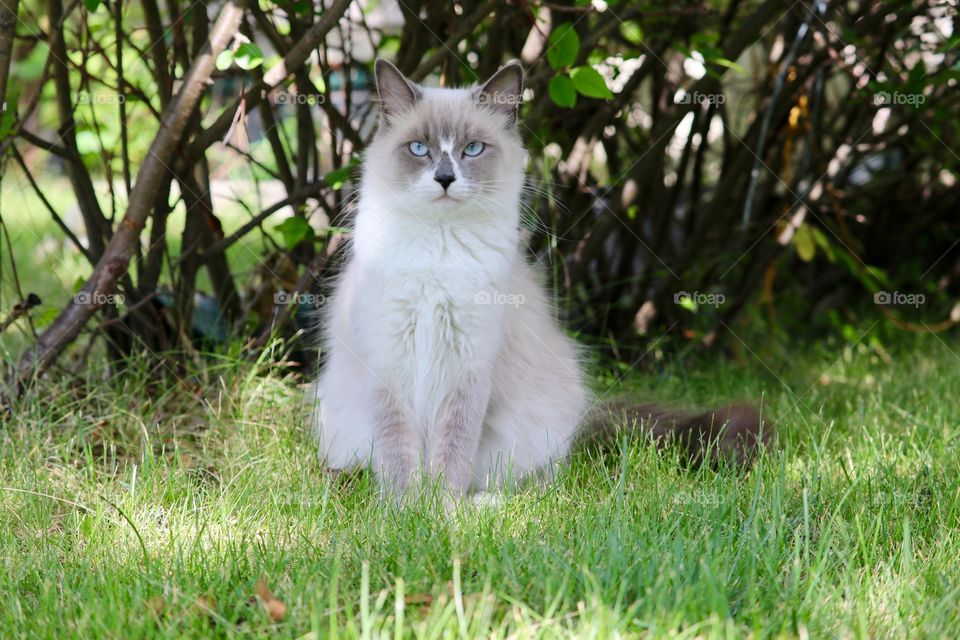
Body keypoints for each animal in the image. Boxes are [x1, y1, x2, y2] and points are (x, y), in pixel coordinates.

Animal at [316, 60, 772, 498]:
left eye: (472, 149)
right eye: (419, 149)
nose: (445, 179)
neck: (438, 250)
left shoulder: (468, 365)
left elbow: (451, 452)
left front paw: (437, 508)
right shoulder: (389, 359)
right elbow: (398, 456)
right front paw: (403, 511)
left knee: (538, 484)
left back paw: (481, 504)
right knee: (357, 467)